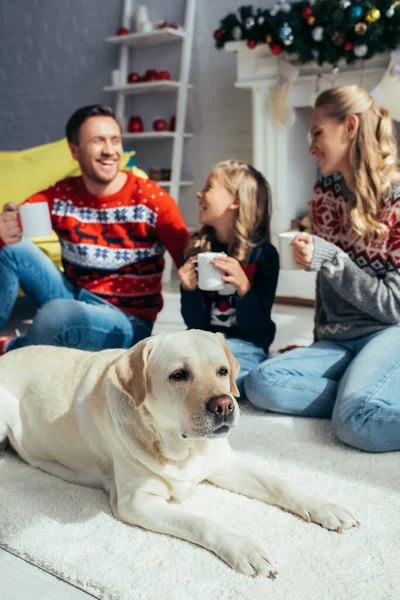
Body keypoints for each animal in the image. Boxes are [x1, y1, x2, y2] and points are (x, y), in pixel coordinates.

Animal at [0, 330, 356, 580]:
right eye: (178, 375)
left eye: (223, 371)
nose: (225, 405)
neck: (183, 450)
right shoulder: (136, 502)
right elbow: (201, 522)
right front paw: (243, 548)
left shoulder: (223, 465)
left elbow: (281, 484)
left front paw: (325, 507)